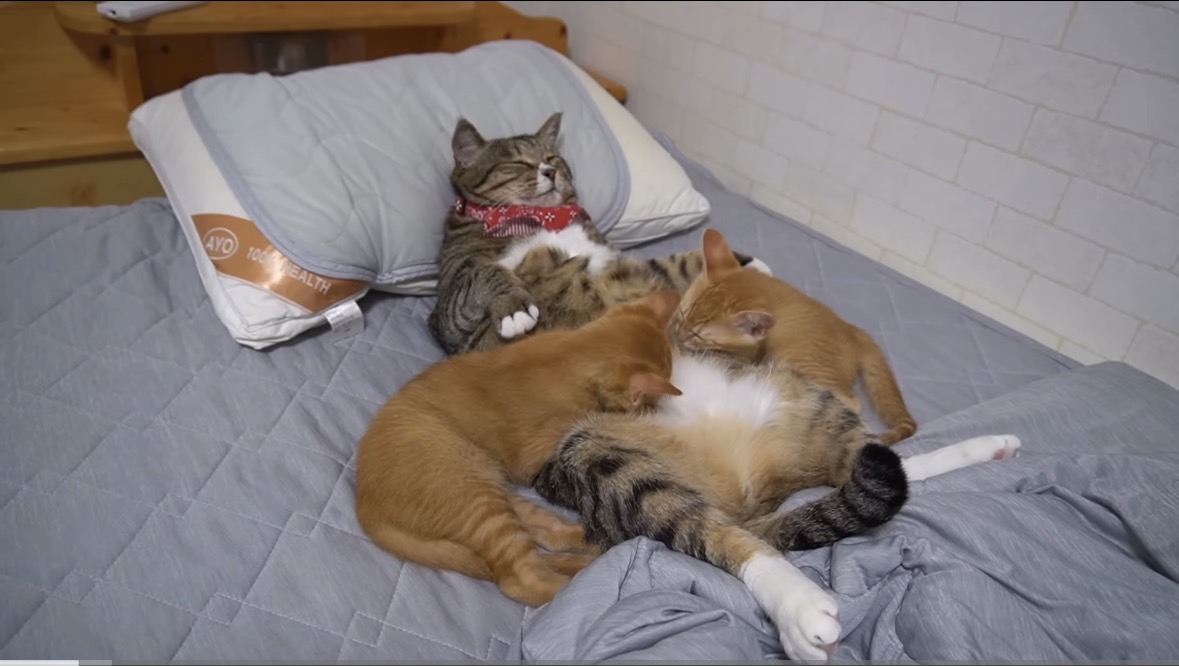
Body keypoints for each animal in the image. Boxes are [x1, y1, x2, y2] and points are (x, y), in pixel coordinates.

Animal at [355, 290, 684, 607]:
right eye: (648, 400)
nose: (652, 407)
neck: (569, 353)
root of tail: (365, 506)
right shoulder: (539, 456)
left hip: (492, 486)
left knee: (545, 533)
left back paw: (599, 541)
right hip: (476, 498)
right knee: (522, 580)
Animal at [427, 112, 769, 356]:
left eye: (552, 158)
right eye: (518, 162)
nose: (550, 172)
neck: (547, 218)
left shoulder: (617, 264)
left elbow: (676, 263)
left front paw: (744, 264)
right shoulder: (446, 314)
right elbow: (486, 272)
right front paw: (515, 308)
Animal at [670, 227, 918, 444]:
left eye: (698, 336)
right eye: (681, 315)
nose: (679, 336)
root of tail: (853, 330)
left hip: (793, 358)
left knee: (852, 402)